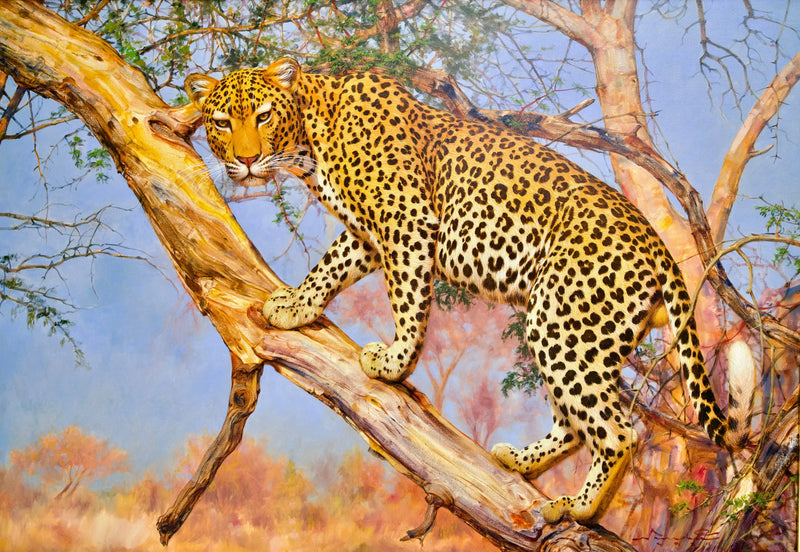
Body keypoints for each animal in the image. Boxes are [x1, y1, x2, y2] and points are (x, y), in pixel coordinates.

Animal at [184, 57, 754, 524]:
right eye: (221, 122)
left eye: (262, 116)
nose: (248, 161)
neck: (311, 136)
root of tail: (660, 248)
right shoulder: (370, 234)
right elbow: (332, 265)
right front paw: (296, 304)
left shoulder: (405, 220)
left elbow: (407, 300)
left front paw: (394, 363)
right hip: (579, 331)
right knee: (578, 421)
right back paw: (521, 461)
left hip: (563, 322)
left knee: (617, 430)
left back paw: (580, 507)